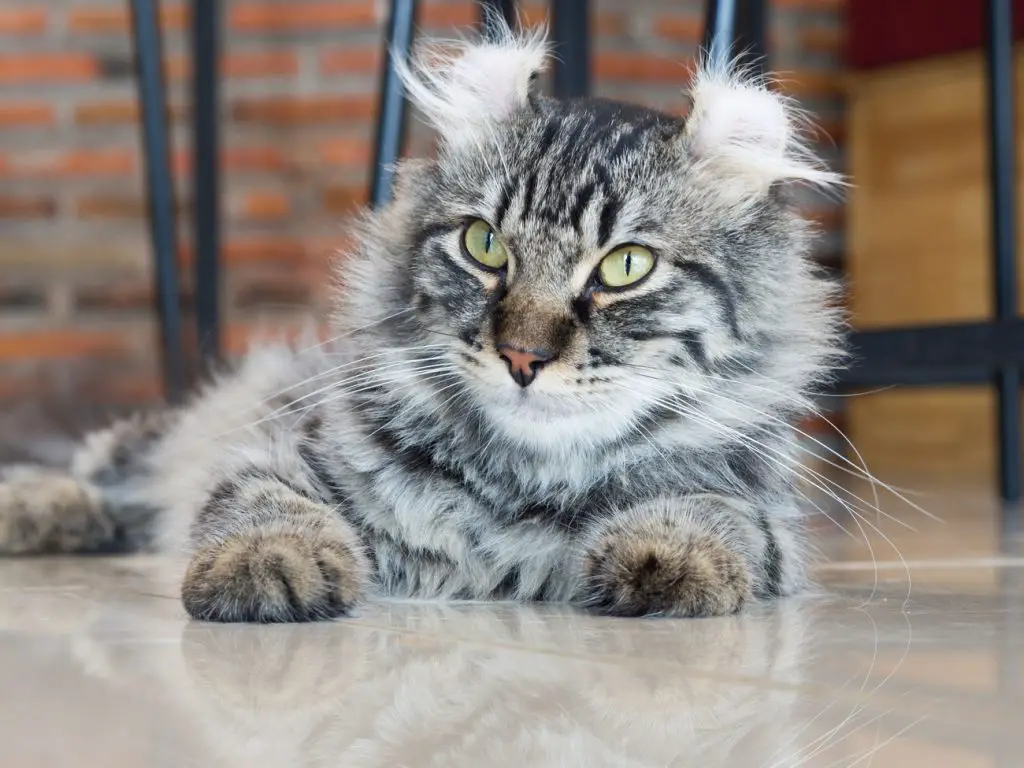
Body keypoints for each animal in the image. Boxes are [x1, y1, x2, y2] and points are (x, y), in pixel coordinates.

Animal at [0, 25, 839, 626]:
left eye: (625, 267)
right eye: (485, 245)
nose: (522, 357)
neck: (517, 488)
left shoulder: (768, 523)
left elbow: (713, 516)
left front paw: (666, 560)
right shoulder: (276, 450)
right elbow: (262, 505)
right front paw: (268, 570)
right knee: (103, 475)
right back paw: (34, 510)